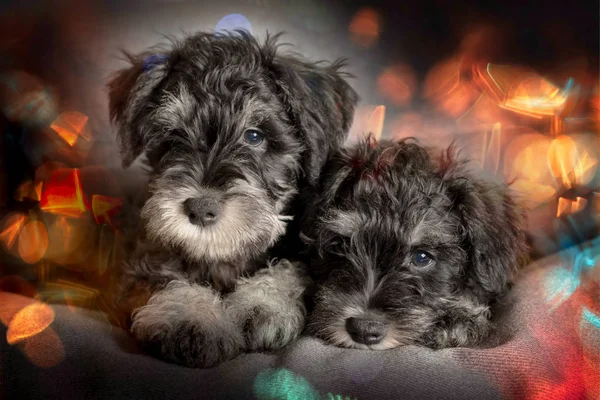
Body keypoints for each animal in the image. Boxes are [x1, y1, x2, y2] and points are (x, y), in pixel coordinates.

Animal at [107, 31, 356, 368]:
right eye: (172, 136)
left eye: (254, 136)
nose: (200, 209)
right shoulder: (146, 256)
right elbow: (166, 277)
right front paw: (189, 317)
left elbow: (289, 271)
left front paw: (263, 305)